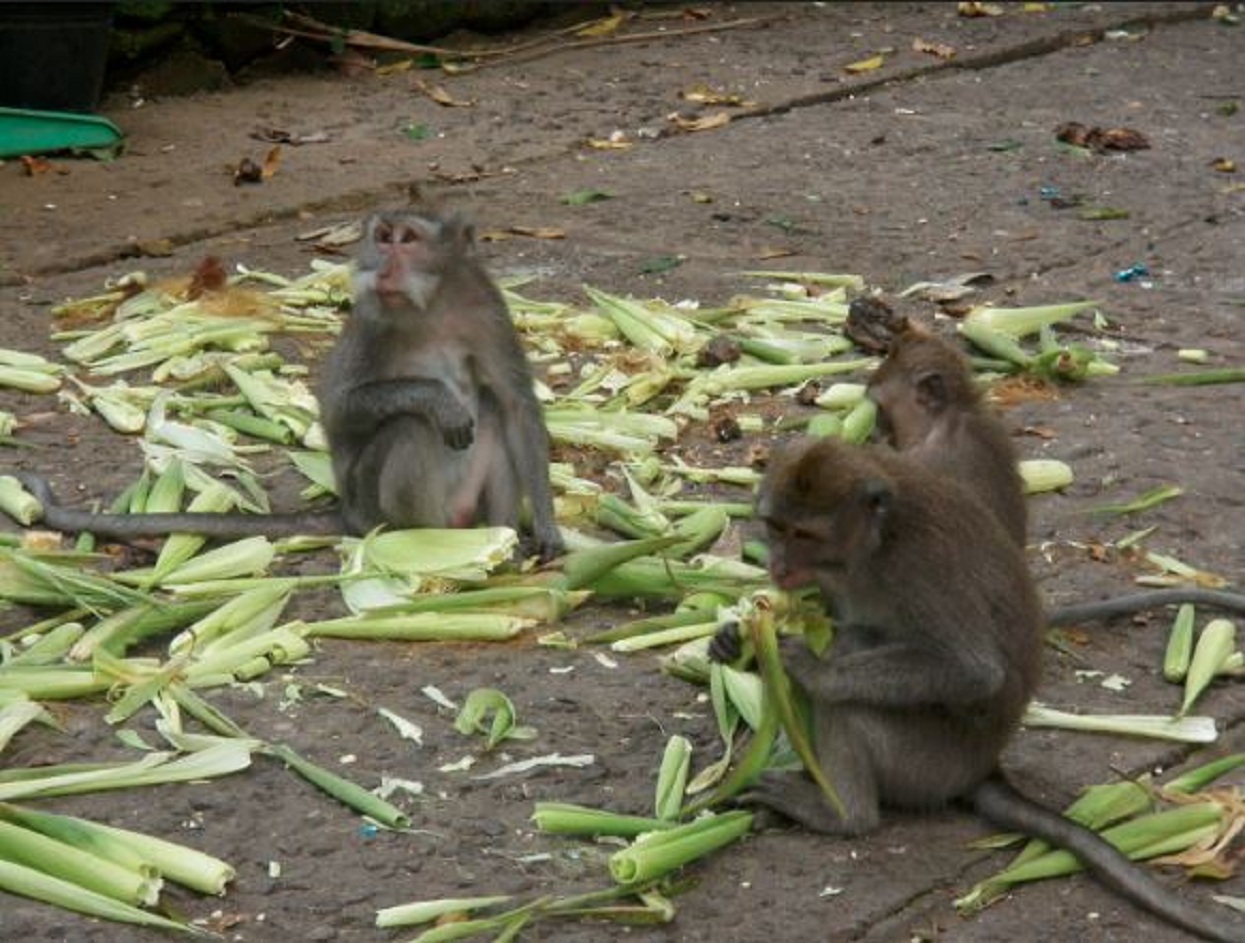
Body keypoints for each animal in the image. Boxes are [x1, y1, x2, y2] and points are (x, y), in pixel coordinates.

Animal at [4, 209, 565, 558]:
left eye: (406, 240)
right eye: (382, 236)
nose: (382, 265)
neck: (431, 306)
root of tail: (348, 513)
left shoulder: (484, 307)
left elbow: (517, 404)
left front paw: (550, 530)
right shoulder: (371, 319)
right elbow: (341, 407)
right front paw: (437, 400)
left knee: (489, 407)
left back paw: (498, 537)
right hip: (372, 504)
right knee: (412, 426)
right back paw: (426, 544)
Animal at [722, 438, 1245, 941]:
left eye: (805, 535)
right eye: (775, 526)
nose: (779, 565)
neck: (874, 543)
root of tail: (982, 769)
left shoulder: (918, 568)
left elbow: (974, 671)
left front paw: (812, 669)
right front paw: (732, 639)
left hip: (928, 762)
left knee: (850, 694)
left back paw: (842, 814)